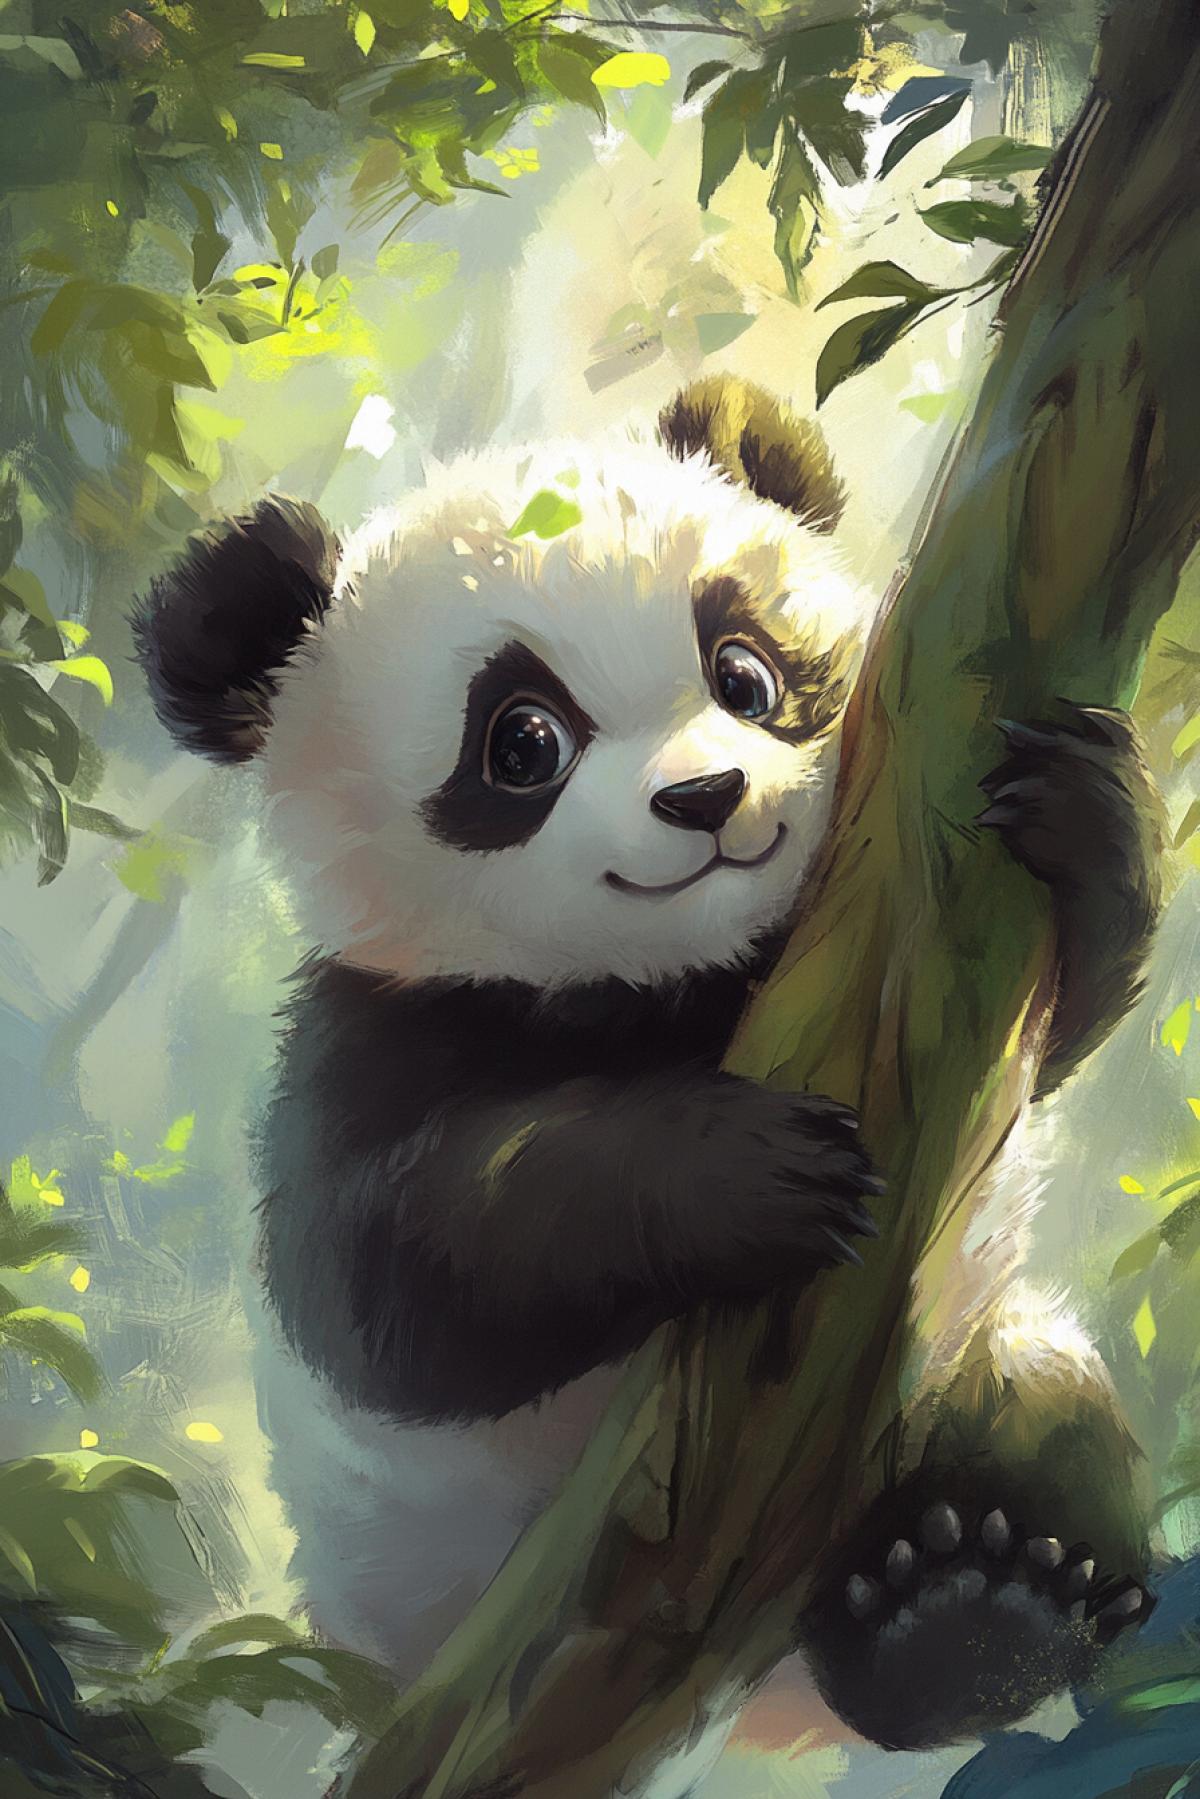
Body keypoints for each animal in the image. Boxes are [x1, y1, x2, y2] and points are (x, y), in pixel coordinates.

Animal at [134, 376, 1159, 1763]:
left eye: (745, 672)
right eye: (522, 742)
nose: (708, 794)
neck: (684, 976)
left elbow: (1039, 1044)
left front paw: (1089, 816)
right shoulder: (376, 1029)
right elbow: (388, 1279)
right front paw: (749, 1173)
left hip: (960, 1357)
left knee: (1044, 1422)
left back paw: (979, 1609)